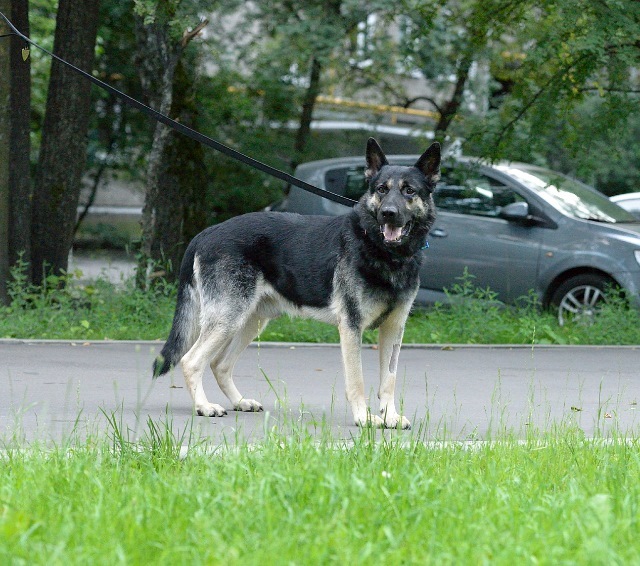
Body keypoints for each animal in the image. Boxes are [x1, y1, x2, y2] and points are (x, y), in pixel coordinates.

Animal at [154, 139, 440, 430]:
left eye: (409, 191)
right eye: (382, 189)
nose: (388, 214)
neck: (383, 251)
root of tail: (207, 232)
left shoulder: (394, 329)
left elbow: (389, 379)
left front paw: (390, 416)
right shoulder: (351, 327)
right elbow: (356, 379)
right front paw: (364, 417)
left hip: (251, 322)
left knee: (219, 365)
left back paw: (240, 402)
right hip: (228, 320)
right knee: (191, 361)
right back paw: (204, 407)